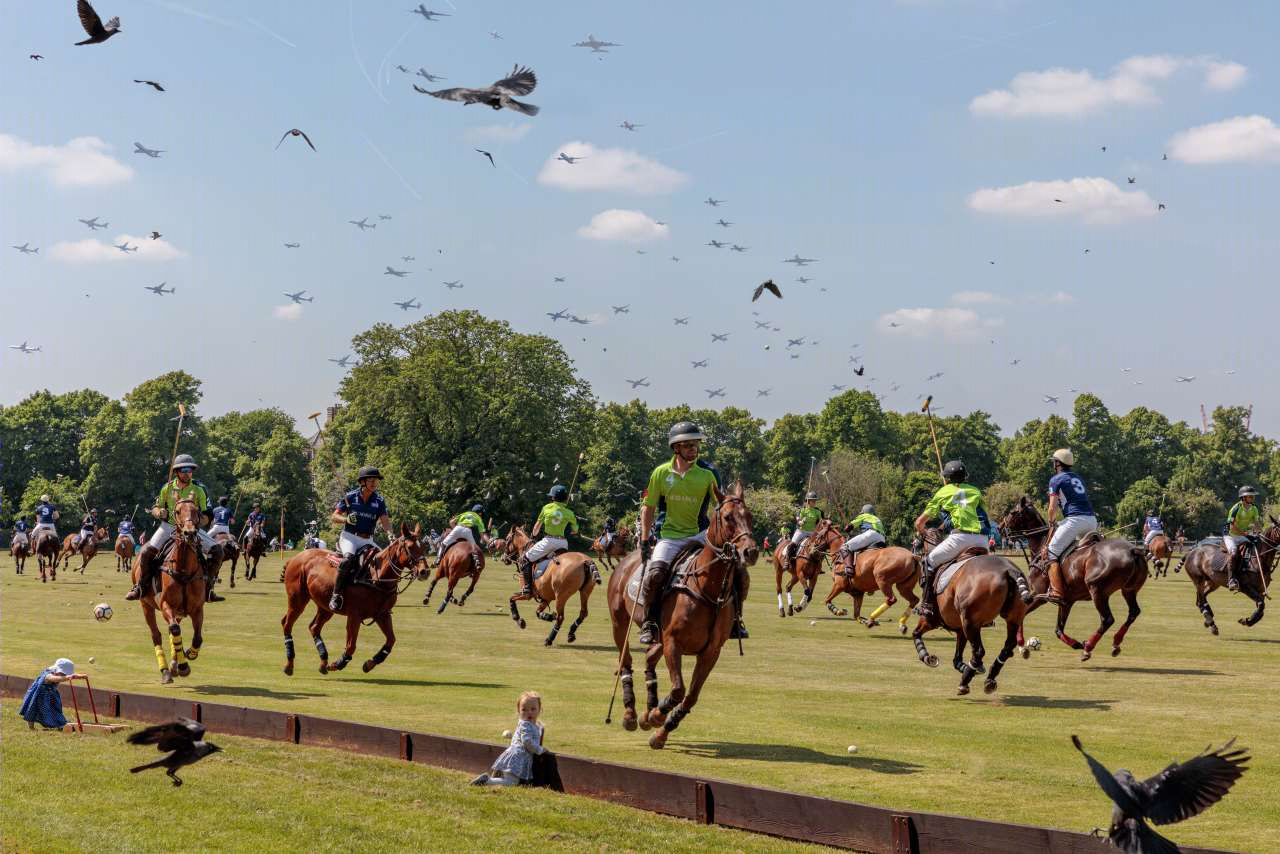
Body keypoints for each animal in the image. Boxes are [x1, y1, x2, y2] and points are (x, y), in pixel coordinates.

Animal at [129, 501, 207, 686]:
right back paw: (165, 670)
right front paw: (183, 666)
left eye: (197, 511)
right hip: (145, 604)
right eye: (177, 511)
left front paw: (189, 654)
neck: (184, 570)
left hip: (178, 612)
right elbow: (174, 630)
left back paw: (173, 665)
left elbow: (197, 637)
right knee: (157, 635)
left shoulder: (197, 608)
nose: (189, 533)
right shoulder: (166, 605)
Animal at [277, 524, 422, 676]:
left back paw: (323, 662)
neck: (377, 577)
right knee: (287, 624)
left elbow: (391, 640)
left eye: (423, 546)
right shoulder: (354, 616)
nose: (425, 571)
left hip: (325, 606)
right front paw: (337, 664)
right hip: (297, 599)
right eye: (410, 547)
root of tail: (294, 558)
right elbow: (351, 645)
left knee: (314, 627)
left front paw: (369, 664)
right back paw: (290, 665)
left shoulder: (383, 614)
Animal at [609, 481, 757, 747]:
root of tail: (627, 559)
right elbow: (678, 689)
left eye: (750, 516)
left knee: (649, 661)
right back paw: (631, 714)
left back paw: (647, 710)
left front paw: (660, 729)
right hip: (620, 623)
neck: (707, 589)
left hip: (658, 637)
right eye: (728, 517)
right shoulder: (673, 642)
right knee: (625, 662)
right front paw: (657, 715)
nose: (750, 552)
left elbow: (690, 696)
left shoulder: (710, 652)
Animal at [911, 524, 1029, 696]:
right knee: (1007, 646)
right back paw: (989, 679)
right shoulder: (960, 629)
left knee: (979, 651)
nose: (914, 549)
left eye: (918, 541)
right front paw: (972, 668)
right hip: (1012, 618)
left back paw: (965, 682)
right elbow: (957, 659)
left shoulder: (932, 620)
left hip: (970, 622)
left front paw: (927, 657)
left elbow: (916, 633)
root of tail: (1008, 570)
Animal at [998, 494, 1152, 660]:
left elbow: (1021, 615)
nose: (1000, 528)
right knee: (1133, 612)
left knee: (1107, 619)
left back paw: (1089, 647)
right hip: (1129, 589)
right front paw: (1076, 644)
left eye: (1012, 512)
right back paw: (1115, 643)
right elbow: (1058, 630)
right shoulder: (1066, 602)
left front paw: (1022, 647)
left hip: (1097, 589)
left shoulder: (1039, 595)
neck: (1041, 546)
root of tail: (1133, 551)